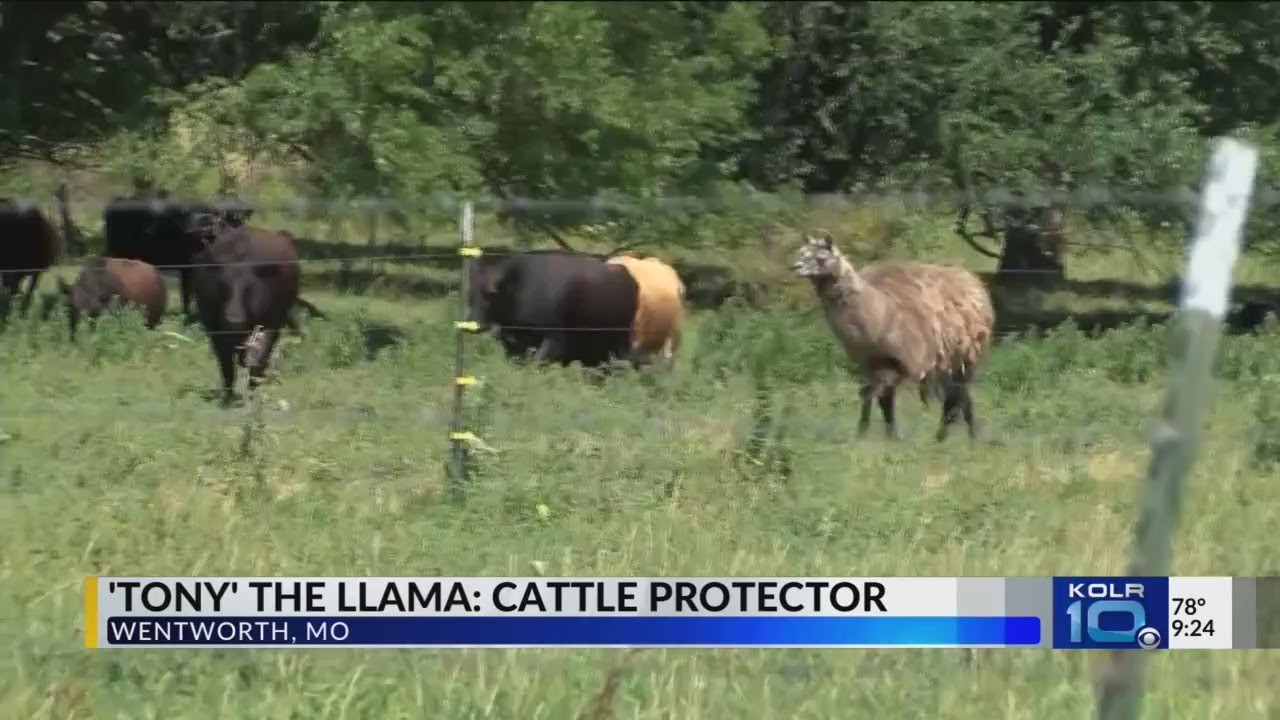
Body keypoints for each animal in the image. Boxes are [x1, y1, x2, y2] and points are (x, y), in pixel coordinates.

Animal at [191, 224, 300, 406]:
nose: (234, 320)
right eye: (223, 286)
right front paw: (228, 397)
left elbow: (260, 359)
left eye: (250, 288)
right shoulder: (213, 327)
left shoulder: (273, 322)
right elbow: (226, 365)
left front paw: (254, 393)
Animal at [466, 251, 639, 368]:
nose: (473, 325)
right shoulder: (514, 345)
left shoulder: (554, 340)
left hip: (617, 344)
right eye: (471, 294)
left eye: (490, 294)